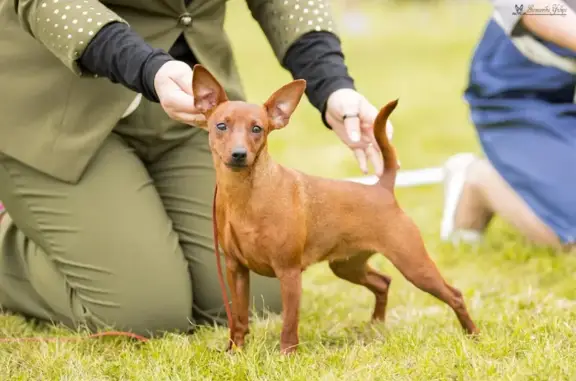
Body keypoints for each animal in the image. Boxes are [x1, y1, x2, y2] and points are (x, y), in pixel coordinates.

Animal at [191, 64, 480, 354]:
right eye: (221, 125)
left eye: (257, 129)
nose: (239, 154)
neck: (246, 194)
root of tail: (382, 188)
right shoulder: (236, 270)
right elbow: (239, 319)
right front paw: (235, 352)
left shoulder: (289, 273)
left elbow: (289, 324)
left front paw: (286, 355)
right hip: (347, 266)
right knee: (383, 282)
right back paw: (375, 326)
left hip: (414, 265)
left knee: (454, 295)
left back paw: (473, 335)